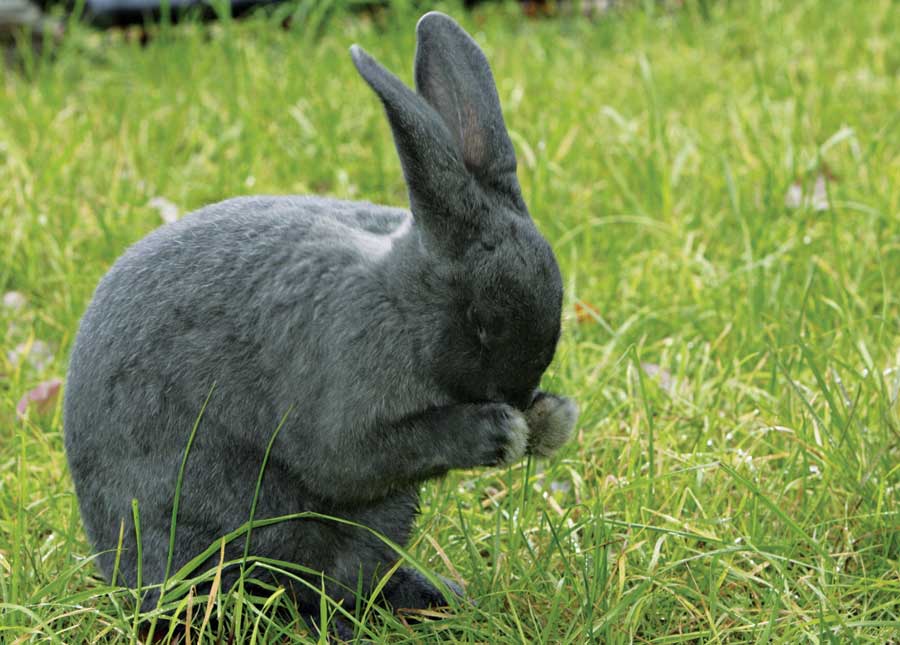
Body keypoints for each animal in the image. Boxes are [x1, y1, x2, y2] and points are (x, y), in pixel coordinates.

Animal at [67, 12, 580, 636]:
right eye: (481, 323)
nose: (521, 399)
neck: (400, 302)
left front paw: (552, 420)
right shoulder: (342, 396)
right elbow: (347, 460)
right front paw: (501, 431)